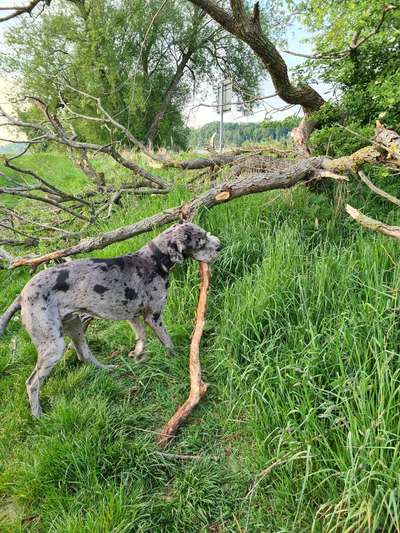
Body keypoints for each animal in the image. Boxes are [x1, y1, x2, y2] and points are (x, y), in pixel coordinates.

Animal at [0, 222, 220, 418]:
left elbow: (141, 338)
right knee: (32, 383)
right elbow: (167, 342)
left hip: (75, 326)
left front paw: (137, 356)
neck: (153, 260)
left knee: (84, 355)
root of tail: (21, 296)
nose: (220, 245)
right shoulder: (154, 316)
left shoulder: (133, 316)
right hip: (53, 345)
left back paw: (106, 369)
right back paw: (38, 415)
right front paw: (176, 359)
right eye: (201, 241)